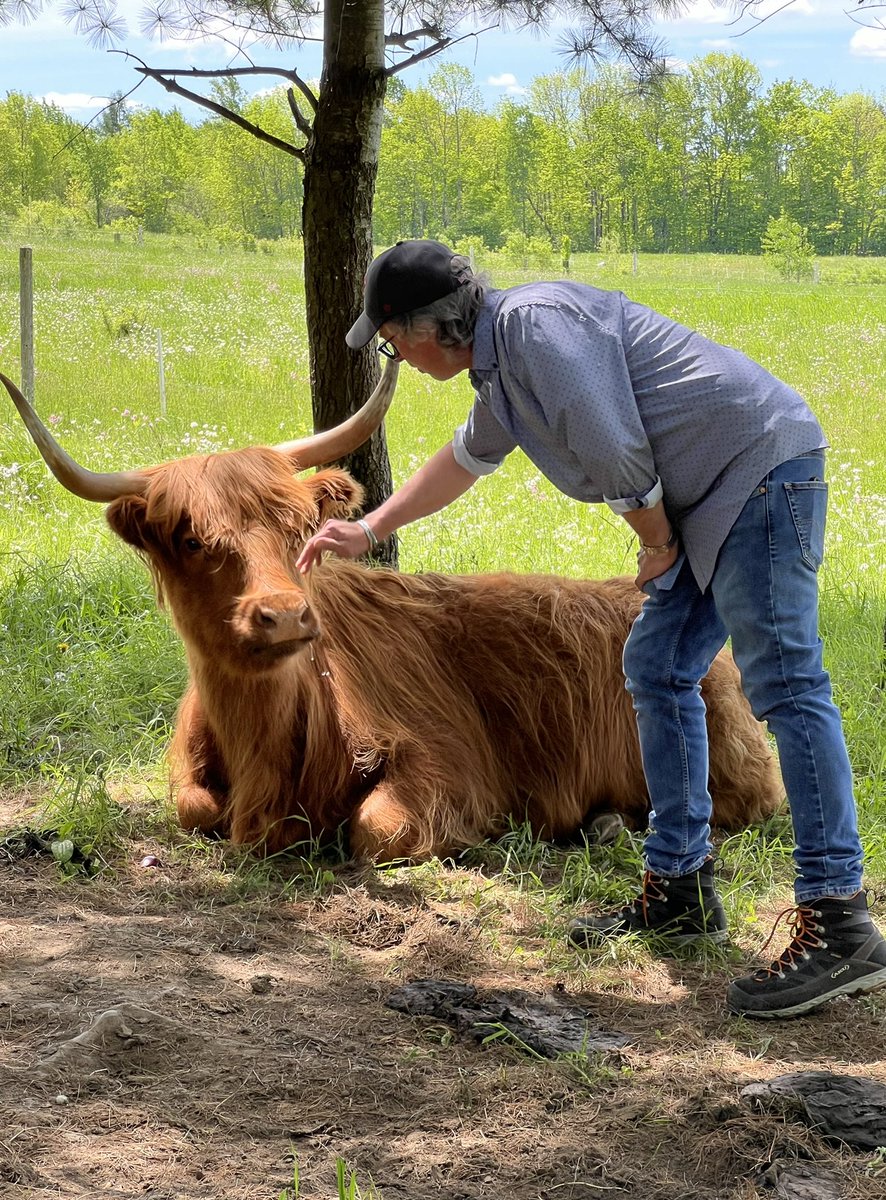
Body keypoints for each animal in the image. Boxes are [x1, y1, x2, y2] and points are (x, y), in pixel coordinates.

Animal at [2, 368, 783, 862]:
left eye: (298, 527)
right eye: (193, 540)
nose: (285, 617)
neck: (263, 749)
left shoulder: (451, 763)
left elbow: (372, 831)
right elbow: (194, 808)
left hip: (734, 769)